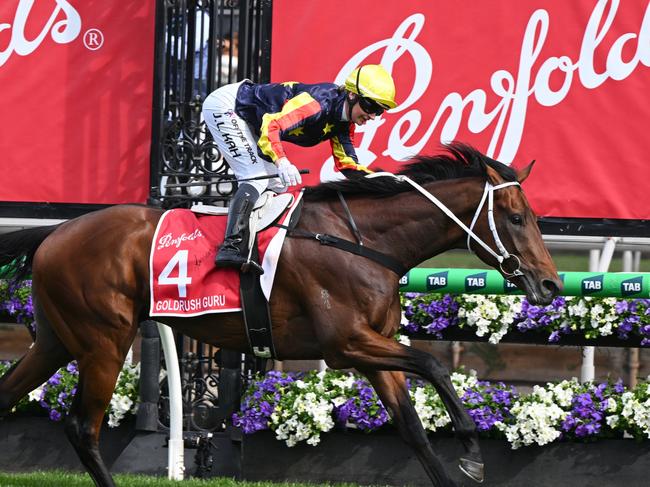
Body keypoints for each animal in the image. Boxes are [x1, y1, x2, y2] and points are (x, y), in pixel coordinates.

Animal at [0, 144, 556, 487]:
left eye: (531, 216)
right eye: (516, 217)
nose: (550, 284)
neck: (361, 242)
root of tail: (54, 233)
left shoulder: (372, 349)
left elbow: (413, 427)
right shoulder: (346, 343)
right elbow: (435, 364)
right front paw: (472, 449)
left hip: (56, 340)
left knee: (9, 396)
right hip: (103, 341)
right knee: (83, 427)